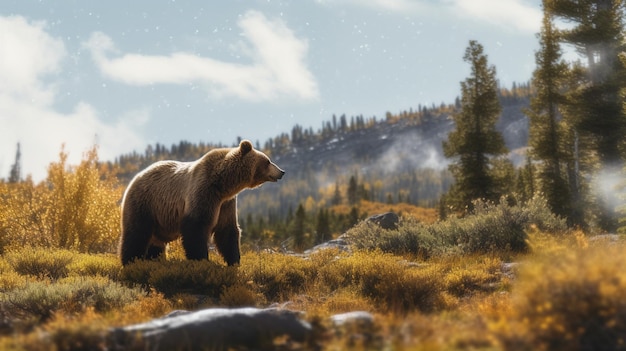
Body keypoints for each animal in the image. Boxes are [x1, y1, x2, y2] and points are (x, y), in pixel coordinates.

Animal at [117, 140, 282, 266]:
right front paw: (202, 260)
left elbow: (227, 230)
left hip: (160, 219)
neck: (223, 184)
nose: (282, 172)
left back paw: (154, 260)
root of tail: (135, 178)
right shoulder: (203, 191)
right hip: (146, 203)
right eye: (268, 161)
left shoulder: (226, 204)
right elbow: (196, 226)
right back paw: (131, 262)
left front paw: (234, 261)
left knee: (155, 243)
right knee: (137, 233)